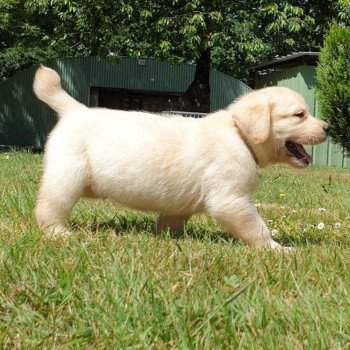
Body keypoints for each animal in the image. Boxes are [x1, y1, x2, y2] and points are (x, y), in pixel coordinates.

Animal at [32, 65, 328, 246]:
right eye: (299, 115)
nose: (327, 127)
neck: (239, 136)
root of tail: (75, 110)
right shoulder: (231, 199)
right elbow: (257, 227)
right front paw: (277, 248)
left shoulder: (180, 206)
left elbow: (171, 221)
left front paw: (167, 238)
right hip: (67, 176)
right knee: (50, 207)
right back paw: (58, 233)